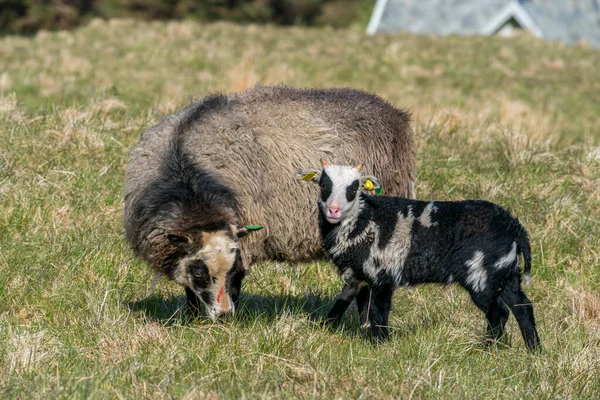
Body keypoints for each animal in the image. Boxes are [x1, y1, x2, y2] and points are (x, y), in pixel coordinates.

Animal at [298, 158, 540, 352]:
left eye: (354, 188)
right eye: (323, 185)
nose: (333, 210)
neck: (364, 219)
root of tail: (515, 228)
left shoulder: (382, 273)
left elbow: (378, 312)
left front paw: (381, 346)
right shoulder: (359, 274)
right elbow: (347, 302)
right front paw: (327, 328)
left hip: (482, 274)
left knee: (498, 312)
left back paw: (487, 350)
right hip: (506, 272)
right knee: (522, 306)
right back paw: (534, 350)